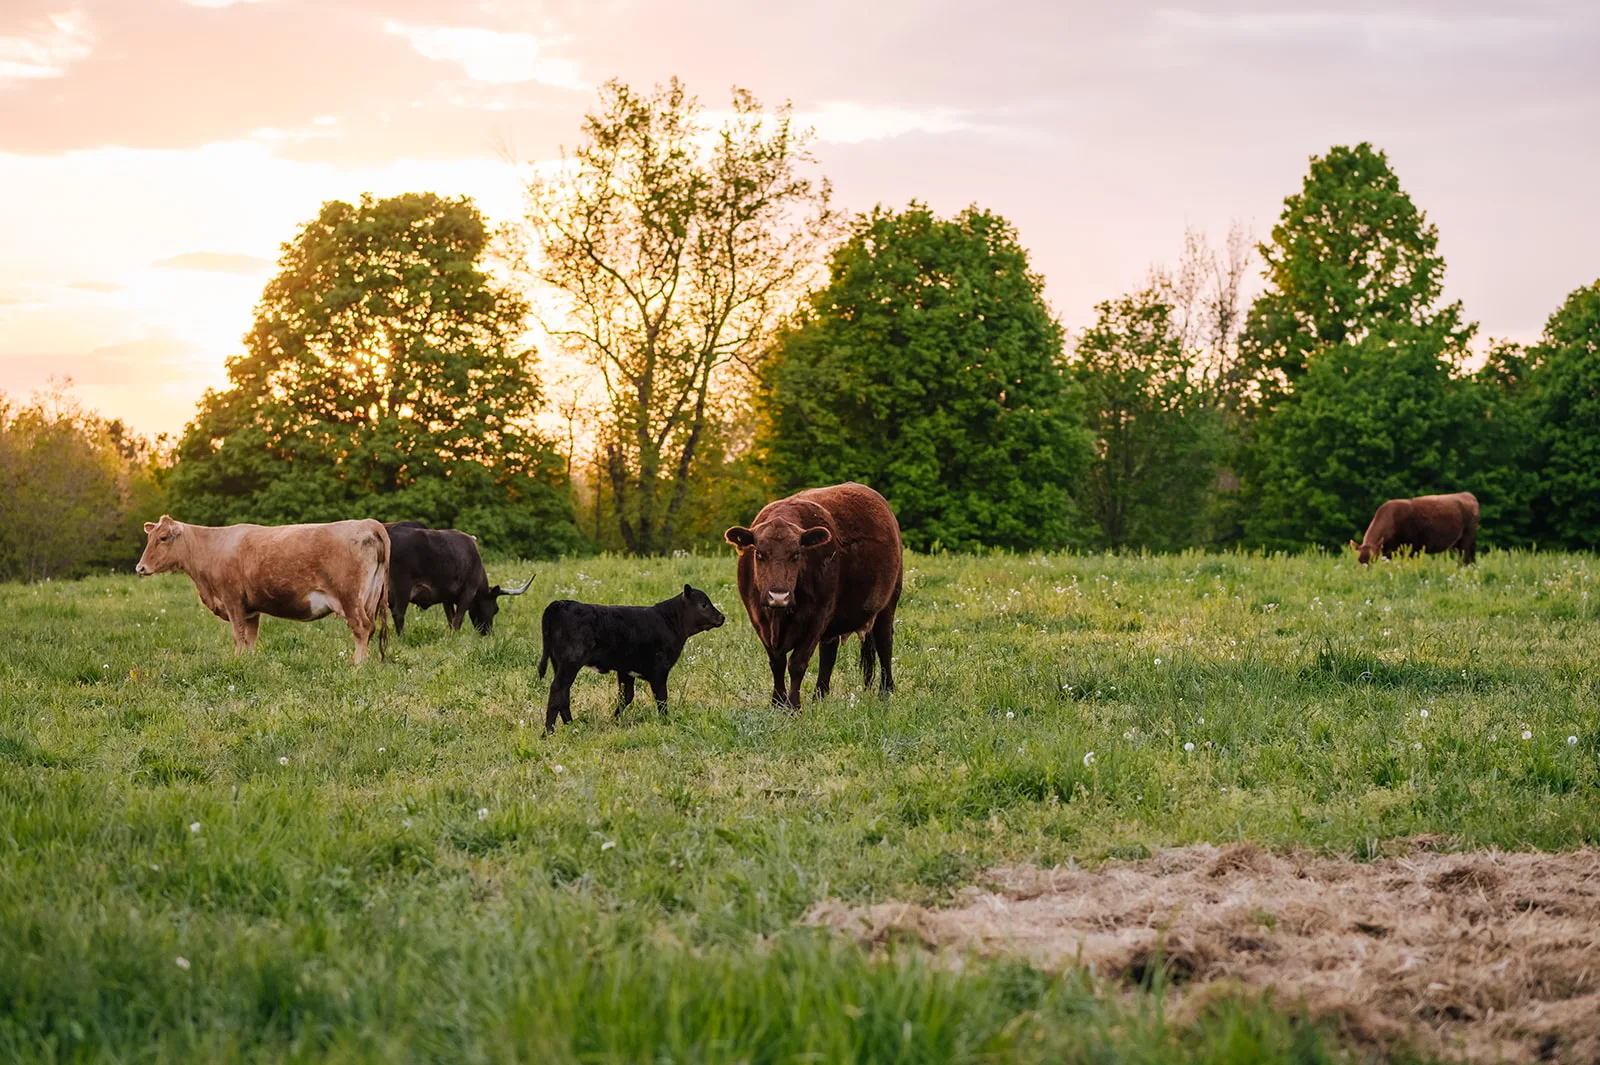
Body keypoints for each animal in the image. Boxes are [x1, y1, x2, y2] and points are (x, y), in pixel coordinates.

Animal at [134, 515, 390, 663]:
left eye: (163, 537)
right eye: (150, 537)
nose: (140, 567)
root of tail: (368, 523)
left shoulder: (232, 600)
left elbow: (239, 635)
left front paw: (237, 661)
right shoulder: (251, 609)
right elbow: (250, 637)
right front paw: (249, 662)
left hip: (349, 597)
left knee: (362, 628)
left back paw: (357, 665)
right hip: (369, 596)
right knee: (369, 629)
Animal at [383, 521, 530, 636]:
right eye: (496, 609)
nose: (488, 633)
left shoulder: (446, 597)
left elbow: (450, 618)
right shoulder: (468, 592)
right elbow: (458, 619)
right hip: (402, 587)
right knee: (398, 613)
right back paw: (402, 637)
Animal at [537, 585, 726, 733]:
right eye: (704, 604)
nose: (722, 617)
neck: (669, 621)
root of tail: (561, 603)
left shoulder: (625, 670)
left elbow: (626, 697)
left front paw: (613, 720)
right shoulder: (660, 671)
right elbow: (661, 698)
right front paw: (665, 721)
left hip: (559, 663)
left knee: (564, 694)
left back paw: (571, 726)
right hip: (570, 663)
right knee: (557, 691)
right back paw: (548, 732)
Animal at [724, 482, 903, 710]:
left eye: (797, 554)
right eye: (759, 554)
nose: (778, 596)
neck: (779, 618)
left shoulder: (817, 617)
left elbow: (797, 664)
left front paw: (793, 706)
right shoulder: (759, 619)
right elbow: (777, 663)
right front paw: (777, 703)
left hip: (888, 602)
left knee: (884, 643)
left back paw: (886, 691)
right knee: (830, 652)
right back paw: (820, 695)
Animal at [1349, 492, 1480, 566]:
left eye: (1373, 559)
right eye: (1359, 560)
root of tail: (1468, 494)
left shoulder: (1412, 548)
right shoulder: (1388, 552)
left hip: (1467, 539)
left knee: (1465, 559)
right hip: (1457, 544)